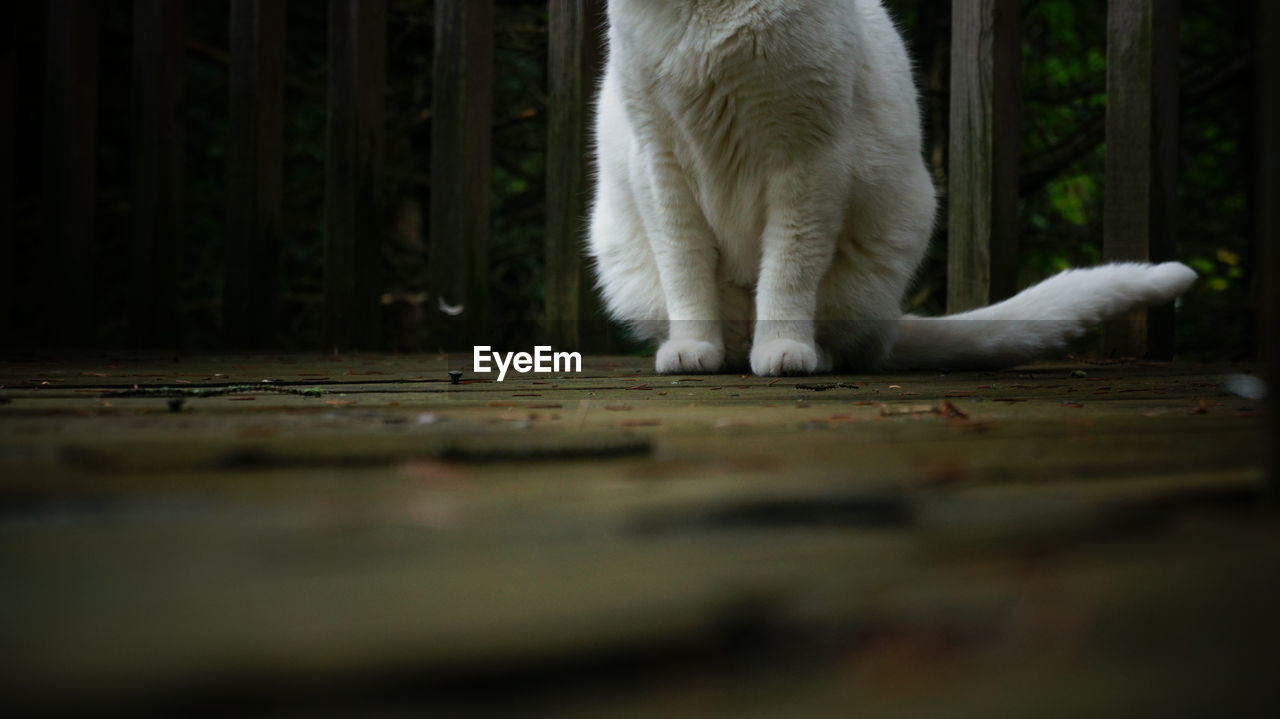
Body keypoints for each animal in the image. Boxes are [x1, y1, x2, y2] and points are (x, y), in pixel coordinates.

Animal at [586, 0, 1192, 371]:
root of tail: (893, 320)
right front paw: (692, 349)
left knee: (843, 339)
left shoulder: (808, 160)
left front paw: (784, 351)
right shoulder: (659, 162)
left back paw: (807, 354)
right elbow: (686, 273)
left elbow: (787, 273)